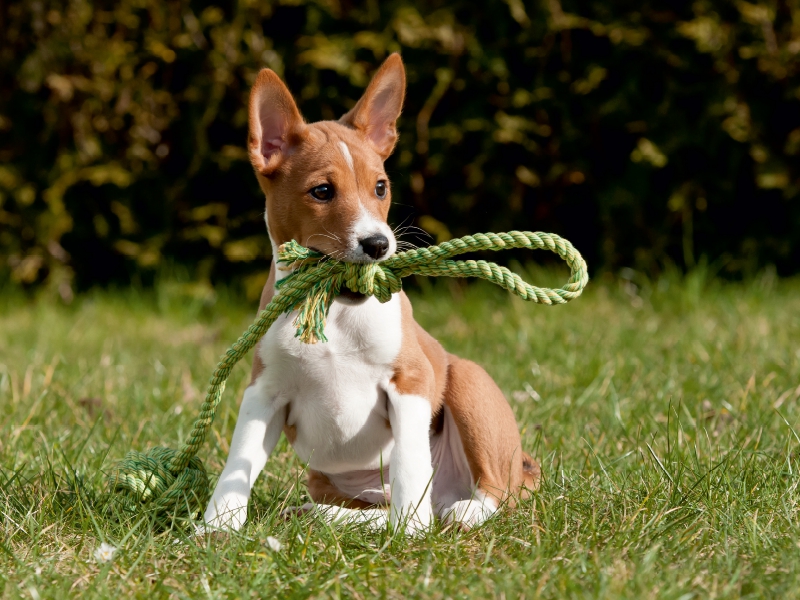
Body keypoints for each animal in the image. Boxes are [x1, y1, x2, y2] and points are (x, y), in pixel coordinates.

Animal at [203, 54, 540, 536]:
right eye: (322, 191)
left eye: (380, 187)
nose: (378, 244)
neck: (335, 307)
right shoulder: (263, 391)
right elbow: (239, 460)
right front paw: (216, 527)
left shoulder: (410, 382)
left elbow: (410, 465)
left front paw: (411, 531)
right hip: (325, 479)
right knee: (374, 508)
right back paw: (328, 516)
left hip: (469, 382)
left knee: (494, 491)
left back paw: (458, 512)